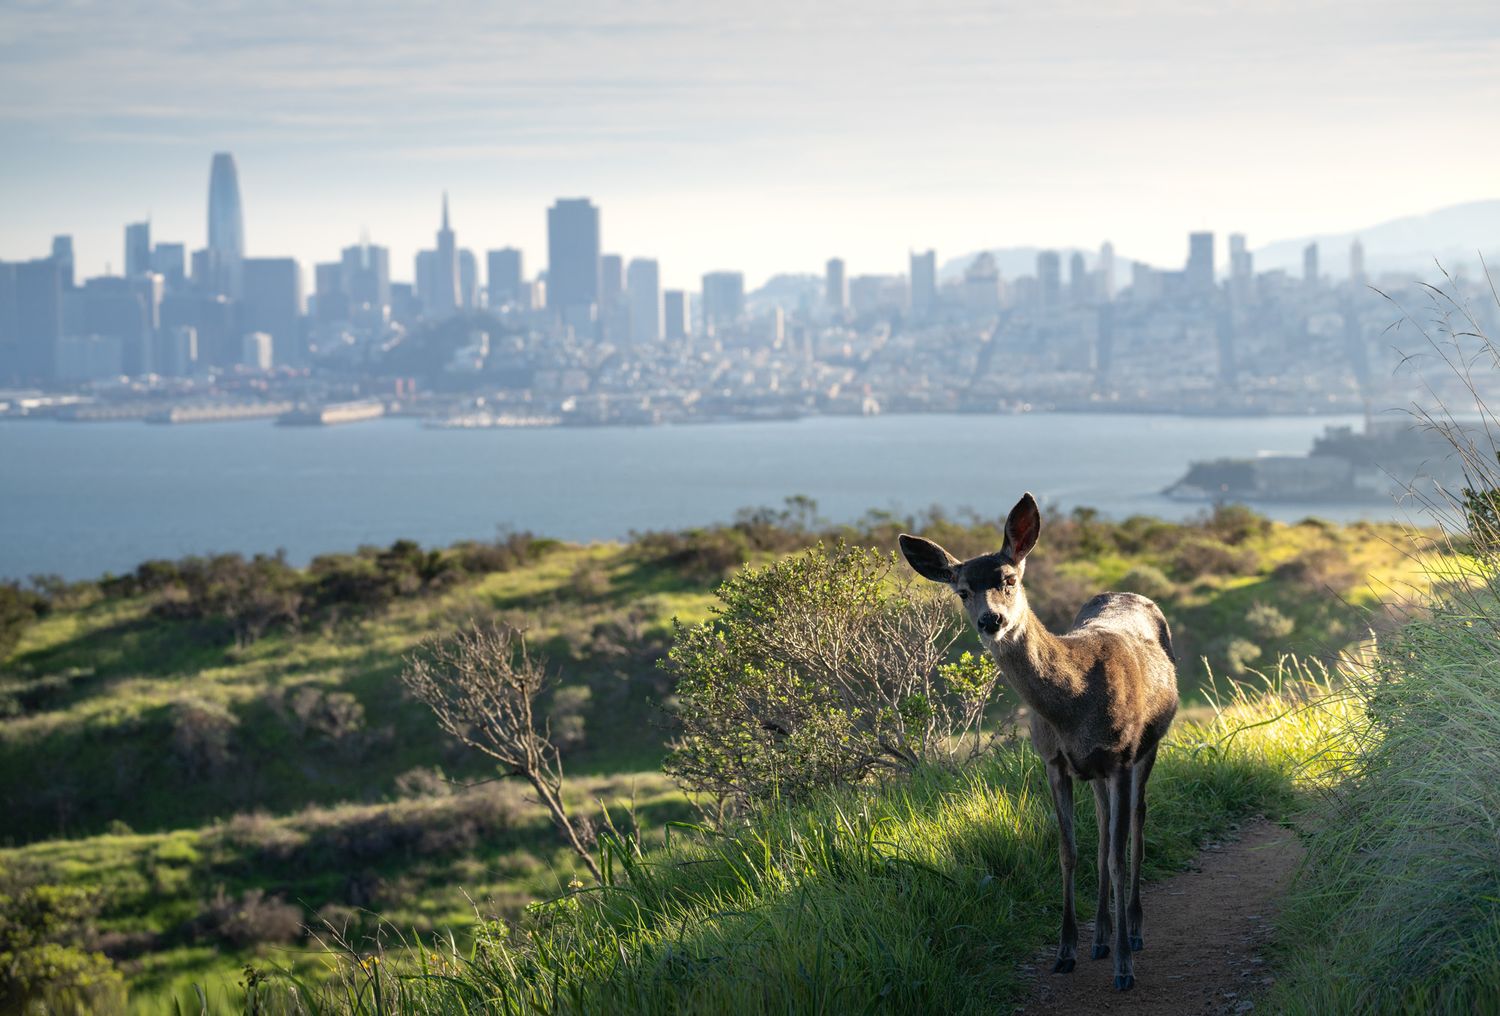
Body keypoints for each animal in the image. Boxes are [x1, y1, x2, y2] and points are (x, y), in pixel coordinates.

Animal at [898, 493, 1178, 992]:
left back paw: (1132, 930)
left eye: (1009, 579)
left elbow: (1118, 854)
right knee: (1104, 829)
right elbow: (1069, 852)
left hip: (1146, 749)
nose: (991, 620)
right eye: (962, 590)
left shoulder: (1121, 757)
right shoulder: (1053, 760)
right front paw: (1066, 951)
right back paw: (1100, 937)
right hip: (1096, 771)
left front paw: (1124, 968)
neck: (1074, 703)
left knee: (1137, 823)